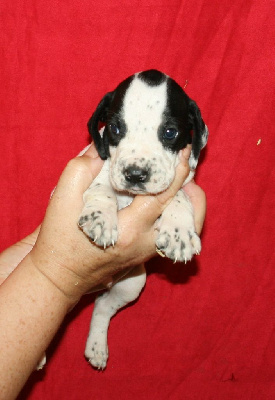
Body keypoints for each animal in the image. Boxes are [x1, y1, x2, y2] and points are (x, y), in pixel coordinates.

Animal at [78, 70, 208, 370]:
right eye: (115, 129)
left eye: (170, 132)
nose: (135, 174)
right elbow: (102, 185)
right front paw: (101, 217)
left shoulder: (184, 181)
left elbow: (178, 195)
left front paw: (178, 231)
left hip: (131, 285)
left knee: (102, 306)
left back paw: (97, 347)